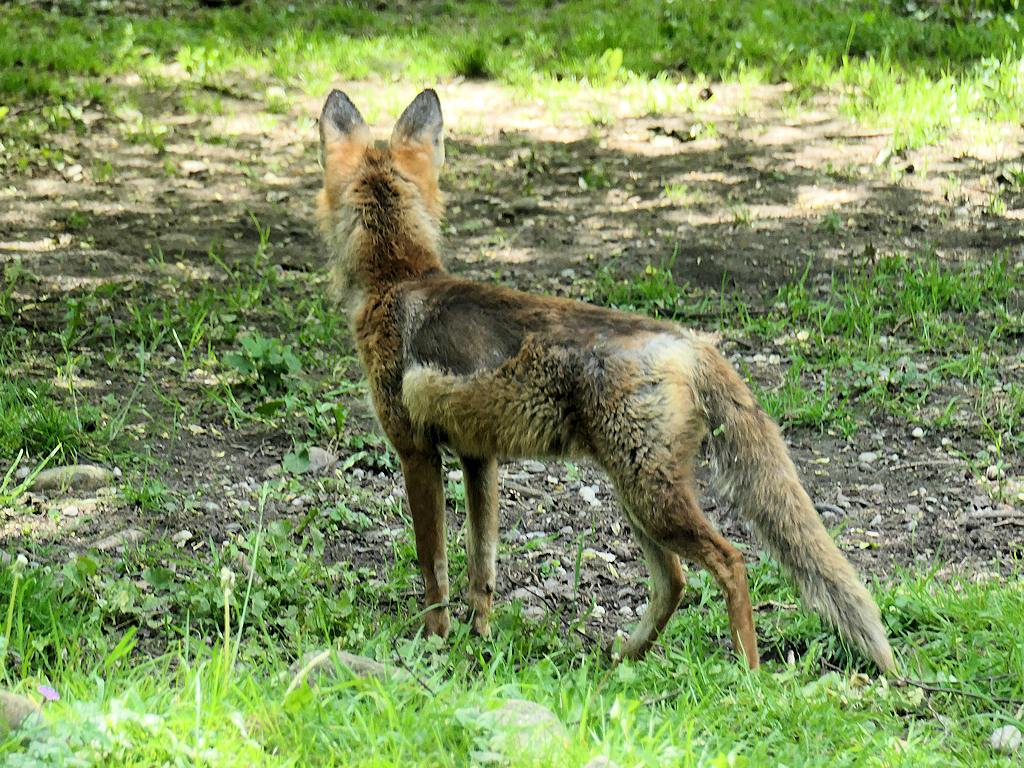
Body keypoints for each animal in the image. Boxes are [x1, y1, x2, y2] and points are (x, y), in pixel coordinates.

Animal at [313, 88, 897, 671]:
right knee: (674, 583)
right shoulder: (480, 455)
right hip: (636, 497)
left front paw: (435, 643)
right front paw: (479, 638)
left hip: (650, 499)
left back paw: (747, 673)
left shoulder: (416, 450)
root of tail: (690, 340)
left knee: (731, 562)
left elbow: (433, 568)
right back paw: (619, 661)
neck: (399, 279)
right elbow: (483, 567)